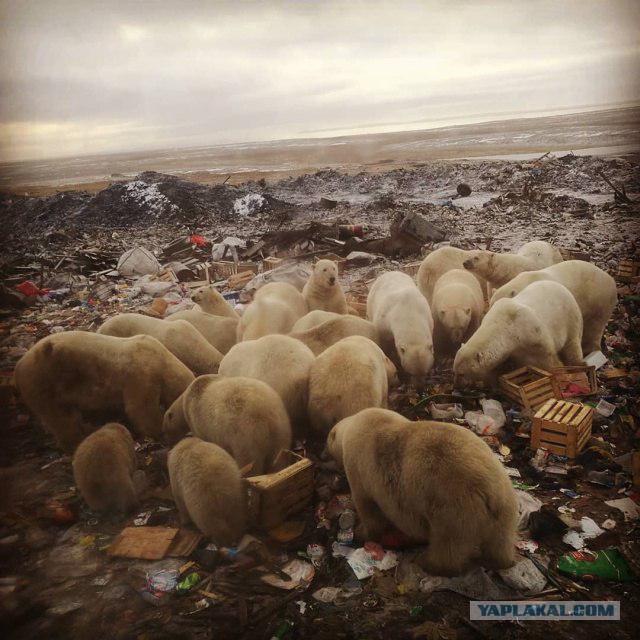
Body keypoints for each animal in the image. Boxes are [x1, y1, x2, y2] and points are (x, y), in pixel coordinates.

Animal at [15, 332, 192, 452]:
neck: (162, 359)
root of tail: (19, 366)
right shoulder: (142, 375)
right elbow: (140, 409)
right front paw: (159, 431)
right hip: (45, 382)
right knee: (61, 418)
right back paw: (79, 440)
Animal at [161, 376, 292, 476]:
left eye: (165, 432)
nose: (168, 445)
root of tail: (265, 416)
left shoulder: (197, 422)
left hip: (245, 436)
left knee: (250, 462)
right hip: (281, 428)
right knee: (278, 458)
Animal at [328, 408, 516, 576]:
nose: (324, 456)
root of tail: (489, 491)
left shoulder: (359, 468)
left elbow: (368, 508)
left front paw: (360, 532)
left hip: (454, 508)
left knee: (448, 543)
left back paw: (428, 563)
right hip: (504, 505)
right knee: (501, 540)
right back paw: (499, 561)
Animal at [452, 278, 584, 380]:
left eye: (461, 374)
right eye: (454, 371)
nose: (457, 386)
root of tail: (560, 285)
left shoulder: (533, 333)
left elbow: (549, 359)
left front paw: (564, 376)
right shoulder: (514, 350)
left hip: (571, 317)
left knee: (573, 344)